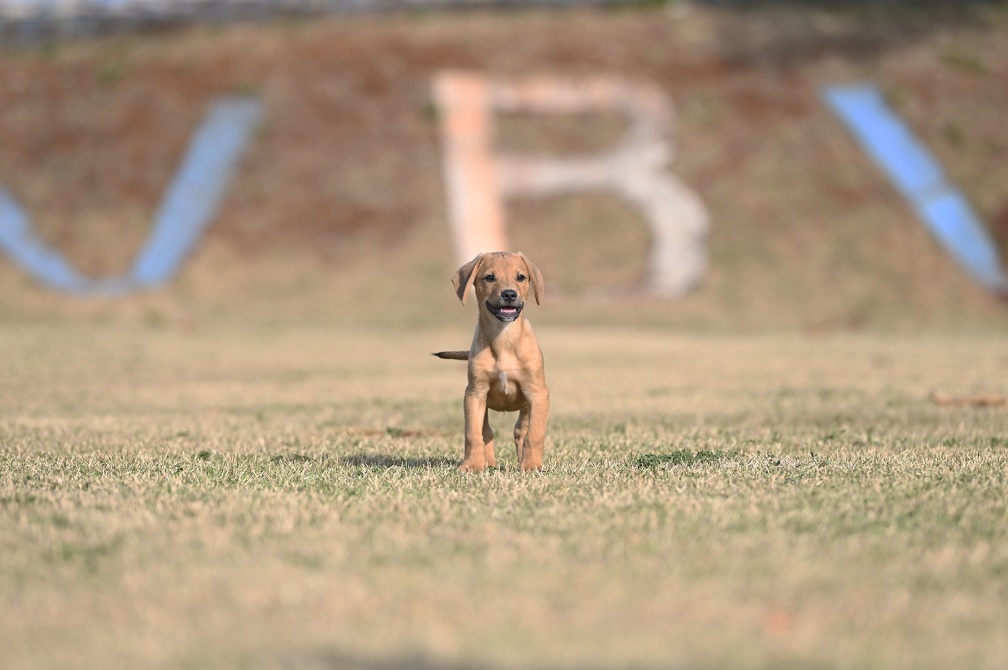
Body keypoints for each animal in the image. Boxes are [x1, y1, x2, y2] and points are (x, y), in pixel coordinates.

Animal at [435, 253, 552, 473]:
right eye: (489, 277)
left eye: (521, 277)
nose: (509, 294)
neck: (504, 340)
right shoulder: (474, 393)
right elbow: (473, 434)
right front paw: (472, 465)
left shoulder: (538, 393)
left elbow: (535, 434)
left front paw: (531, 465)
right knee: (486, 432)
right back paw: (487, 462)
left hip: (527, 406)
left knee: (521, 431)